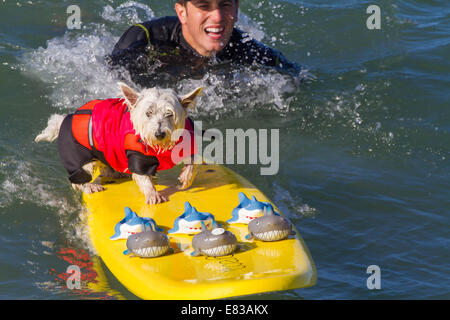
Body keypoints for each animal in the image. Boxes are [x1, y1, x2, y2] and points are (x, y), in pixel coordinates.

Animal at [35, 82, 204, 205]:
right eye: (148, 113)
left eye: (169, 113)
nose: (159, 134)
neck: (160, 148)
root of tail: (64, 119)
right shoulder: (138, 158)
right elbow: (142, 177)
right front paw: (153, 194)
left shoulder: (187, 142)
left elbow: (194, 161)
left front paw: (185, 178)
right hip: (77, 154)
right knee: (79, 177)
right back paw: (90, 185)